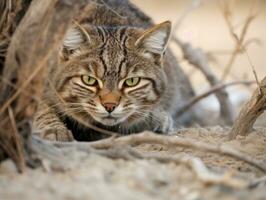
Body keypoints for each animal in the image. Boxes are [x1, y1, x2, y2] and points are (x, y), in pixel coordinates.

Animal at [32, 0, 195, 141]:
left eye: (132, 81)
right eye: (89, 80)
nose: (109, 106)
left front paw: (155, 118)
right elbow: (41, 107)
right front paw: (53, 128)